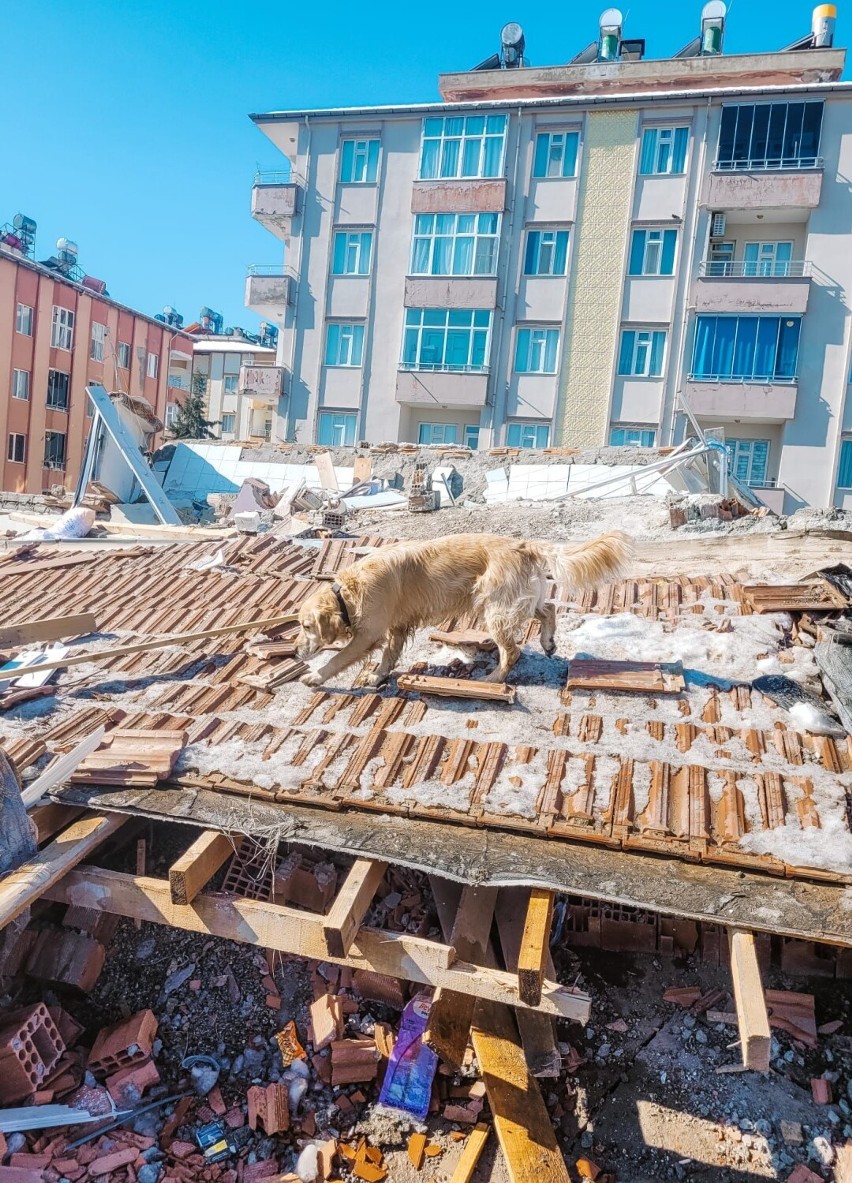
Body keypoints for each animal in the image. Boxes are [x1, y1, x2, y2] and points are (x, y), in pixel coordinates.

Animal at [295, 532, 629, 690]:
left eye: (306, 626)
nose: (296, 651)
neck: (349, 591)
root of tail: (524, 545)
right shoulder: (396, 627)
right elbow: (389, 655)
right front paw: (378, 676)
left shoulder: (368, 634)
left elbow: (338, 658)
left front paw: (314, 677)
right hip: (515, 600)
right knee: (547, 609)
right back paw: (548, 643)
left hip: (494, 608)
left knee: (512, 651)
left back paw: (493, 679)